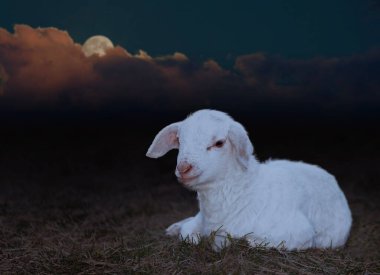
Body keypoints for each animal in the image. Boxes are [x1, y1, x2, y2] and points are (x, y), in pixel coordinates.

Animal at [146, 109, 354, 250]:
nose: (183, 168)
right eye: (180, 140)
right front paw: (181, 231)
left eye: (219, 143)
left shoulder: (300, 232)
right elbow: (187, 234)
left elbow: (248, 241)